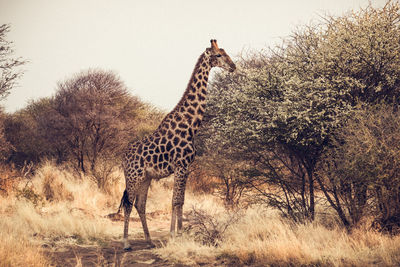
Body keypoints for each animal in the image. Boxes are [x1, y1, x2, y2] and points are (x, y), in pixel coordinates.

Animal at [117, 39, 236, 251]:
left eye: (225, 52)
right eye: (219, 55)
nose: (233, 66)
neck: (191, 124)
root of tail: (123, 157)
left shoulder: (186, 167)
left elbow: (181, 201)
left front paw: (181, 233)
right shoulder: (180, 166)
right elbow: (175, 201)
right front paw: (174, 234)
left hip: (146, 178)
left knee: (140, 204)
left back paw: (149, 241)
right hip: (133, 175)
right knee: (129, 203)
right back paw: (126, 243)